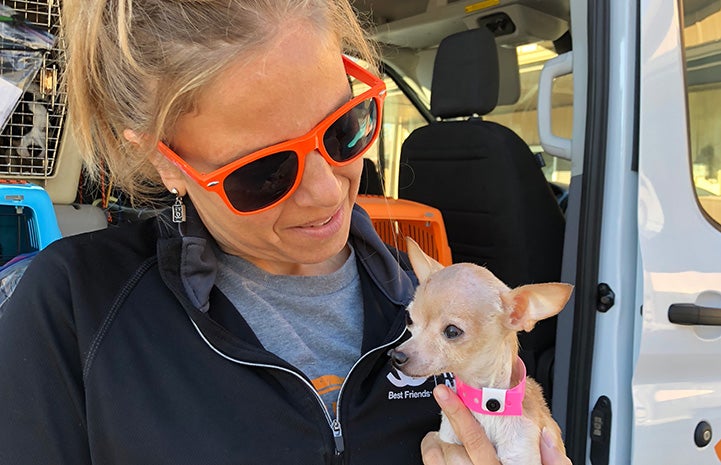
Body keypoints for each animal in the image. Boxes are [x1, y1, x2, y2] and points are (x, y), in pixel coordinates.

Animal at [390, 239, 572, 464]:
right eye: (409, 319)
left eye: (452, 331)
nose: (396, 356)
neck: (487, 405)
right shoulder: (447, 439)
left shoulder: (522, 453)